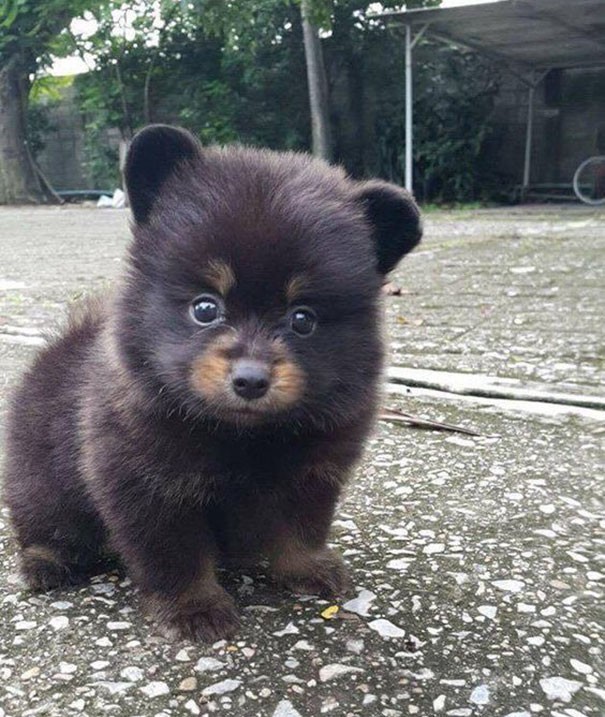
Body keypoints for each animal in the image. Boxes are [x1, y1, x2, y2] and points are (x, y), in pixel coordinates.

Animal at [3, 126, 420, 640]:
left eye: (303, 319)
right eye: (205, 308)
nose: (251, 380)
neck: (243, 435)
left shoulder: (312, 473)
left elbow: (302, 529)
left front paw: (307, 568)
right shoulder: (147, 485)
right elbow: (175, 555)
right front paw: (194, 607)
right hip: (41, 481)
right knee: (47, 526)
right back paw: (46, 563)